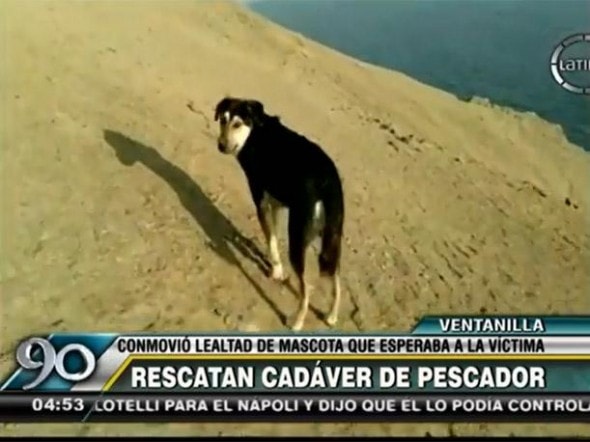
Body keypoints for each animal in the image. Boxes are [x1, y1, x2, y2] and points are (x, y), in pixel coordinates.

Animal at [214, 97, 344, 332]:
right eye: (222, 120)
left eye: (237, 124)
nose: (221, 145)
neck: (256, 133)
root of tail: (327, 181)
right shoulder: (275, 205)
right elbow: (273, 237)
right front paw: (275, 266)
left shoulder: (261, 201)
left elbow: (271, 238)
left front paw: (276, 271)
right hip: (332, 238)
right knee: (336, 277)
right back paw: (331, 316)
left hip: (299, 238)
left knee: (306, 288)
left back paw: (297, 321)